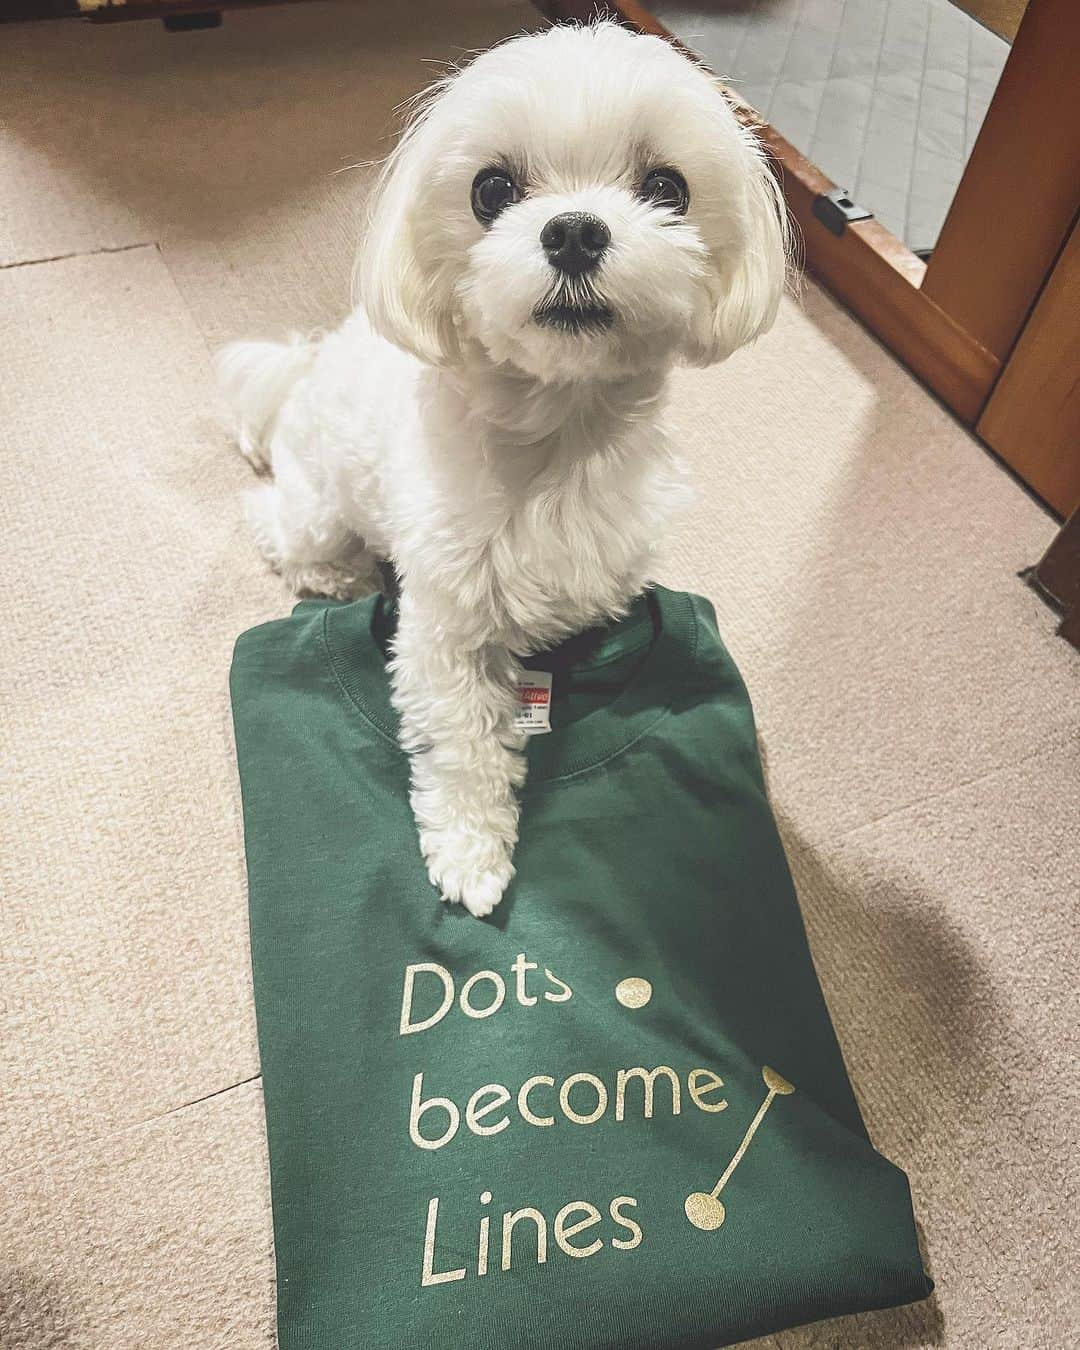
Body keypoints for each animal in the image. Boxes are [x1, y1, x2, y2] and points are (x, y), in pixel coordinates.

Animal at [221, 21, 793, 912]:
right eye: (491, 189)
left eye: (667, 187)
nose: (574, 231)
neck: (558, 440)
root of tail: (306, 366)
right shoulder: (444, 627)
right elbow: (465, 740)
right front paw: (470, 851)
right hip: (320, 506)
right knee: (278, 524)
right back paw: (339, 574)